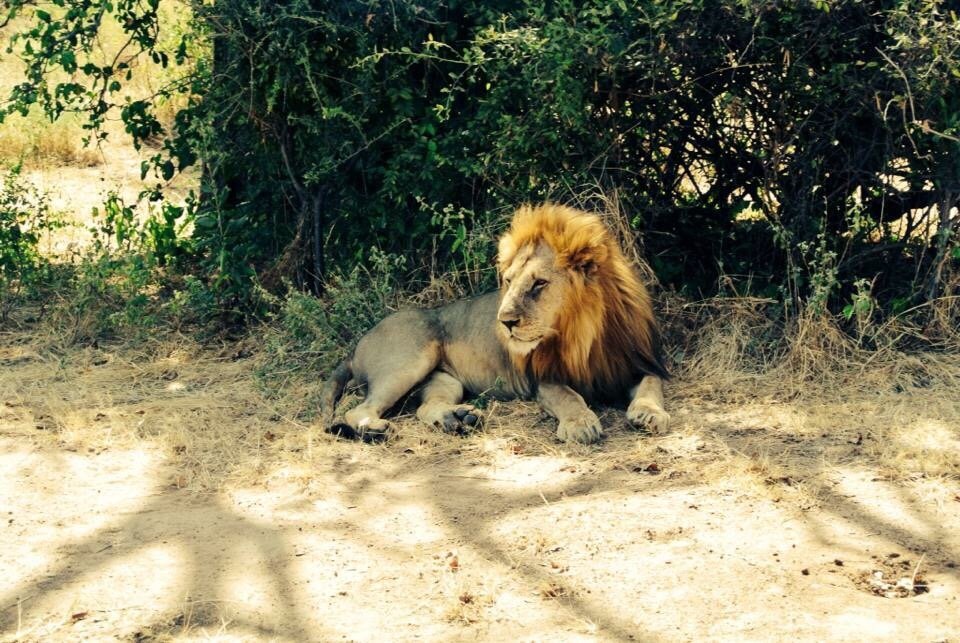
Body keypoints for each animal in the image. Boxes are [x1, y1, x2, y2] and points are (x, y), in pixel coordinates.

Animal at [319, 203, 670, 443]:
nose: (504, 322)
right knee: (357, 410)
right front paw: (581, 424)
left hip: (444, 380)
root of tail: (355, 347)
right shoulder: (542, 380)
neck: (583, 332)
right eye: (509, 281)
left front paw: (650, 414)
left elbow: (652, 385)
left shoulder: (637, 363)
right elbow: (567, 396)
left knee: (425, 407)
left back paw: (458, 418)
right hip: (409, 361)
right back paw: (377, 430)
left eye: (539, 284)